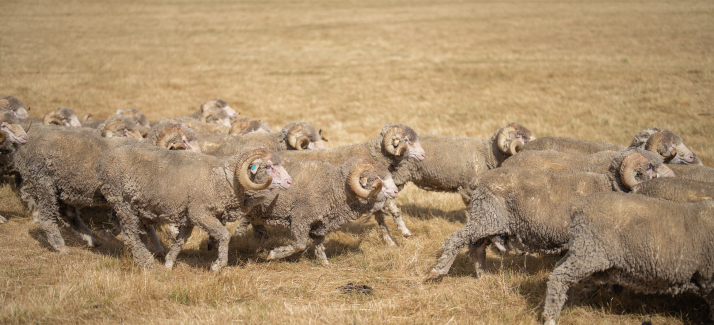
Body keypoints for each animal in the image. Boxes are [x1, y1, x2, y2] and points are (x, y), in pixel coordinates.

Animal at [16, 121, 200, 253]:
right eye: (184, 141)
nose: (202, 157)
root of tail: (32, 146)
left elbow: (147, 225)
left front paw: (157, 248)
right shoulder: (121, 196)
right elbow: (121, 223)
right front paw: (105, 234)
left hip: (66, 189)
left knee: (68, 214)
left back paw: (90, 239)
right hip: (45, 183)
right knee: (47, 217)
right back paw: (61, 246)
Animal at [96, 146, 290, 270]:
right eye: (268, 166)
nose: (290, 182)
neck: (220, 180)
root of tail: (103, 160)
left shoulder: (189, 216)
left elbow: (181, 241)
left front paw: (169, 263)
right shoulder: (200, 213)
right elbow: (224, 235)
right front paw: (218, 265)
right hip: (122, 202)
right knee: (130, 236)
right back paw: (146, 264)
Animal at [243, 156, 400, 264]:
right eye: (378, 177)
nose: (396, 191)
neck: (334, 187)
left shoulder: (319, 224)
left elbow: (319, 245)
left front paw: (324, 264)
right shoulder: (300, 218)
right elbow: (299, 245)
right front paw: (273, 254)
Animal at [428, 149, 672, 278]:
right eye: (650, 168)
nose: (672, 178)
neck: (608, 185)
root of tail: (479, 180)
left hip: (489, 222)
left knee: (477, 248)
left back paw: (483, 277)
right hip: (487, 219)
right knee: (457, 239)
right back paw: (439, 271)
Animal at [540, 191, 712, 322]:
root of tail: (578, 206)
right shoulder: (709, 279)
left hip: (580, 247)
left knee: (560, 270)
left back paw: (566, 302)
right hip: (590, 251)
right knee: (560, 277)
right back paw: (551, 317)